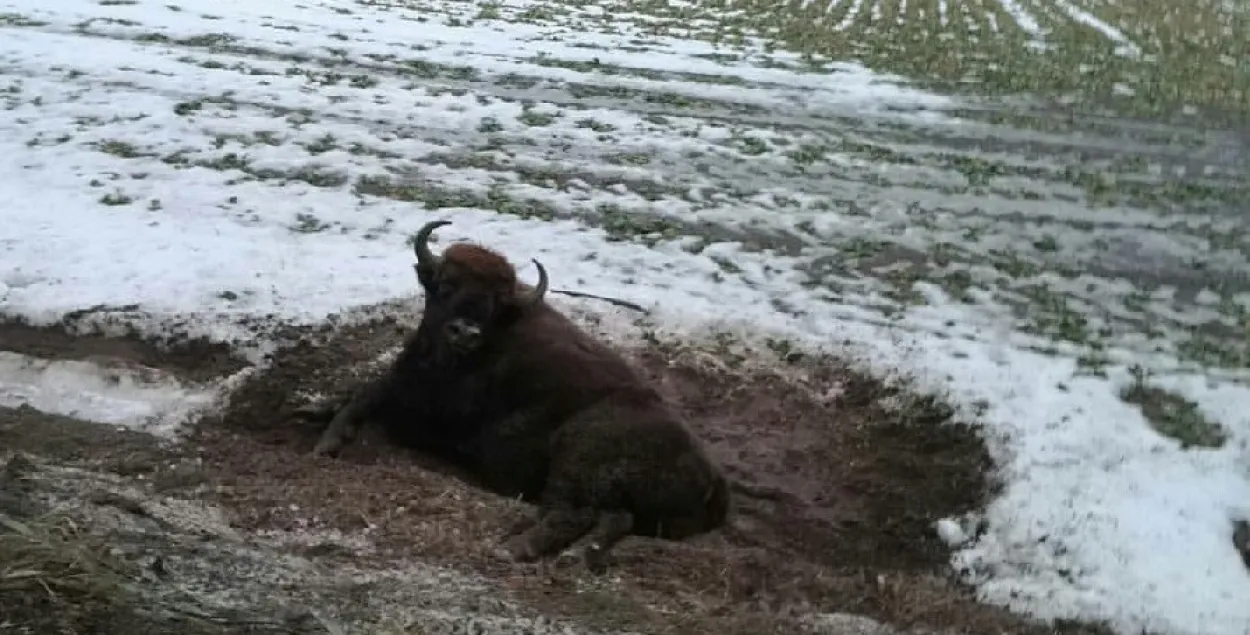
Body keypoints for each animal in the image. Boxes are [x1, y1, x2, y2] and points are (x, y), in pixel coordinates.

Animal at [308, 220, 730, 570]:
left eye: (494, 304)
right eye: (445, 286)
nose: (465, 331)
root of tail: (713, 475)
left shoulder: (425, 414)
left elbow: (366, 395)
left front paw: (326, 444)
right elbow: (361, 391)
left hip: (576, 457)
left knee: (574, 513)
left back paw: (514, 548)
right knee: (613, 519)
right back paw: (573, 556)